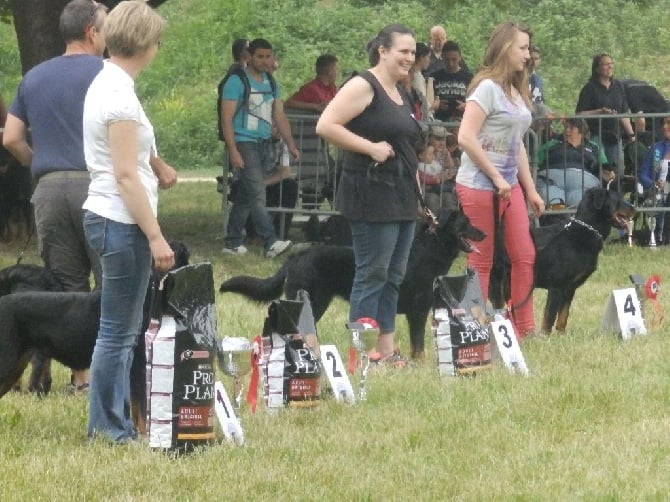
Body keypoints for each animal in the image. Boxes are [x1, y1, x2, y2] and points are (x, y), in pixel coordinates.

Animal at [220, 208, 488, 356]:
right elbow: (418, 345)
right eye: (465, 223)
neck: (430, 253)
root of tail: (295, 257)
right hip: (309, 301)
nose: (484, 233)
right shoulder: (418, 311)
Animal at [490, 187, 636, 334]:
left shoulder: (570, 287)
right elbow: (549, 316)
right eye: (617, 199)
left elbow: (563, 315)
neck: (584, 231)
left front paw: (561, 334)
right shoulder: (556, 286)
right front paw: (545, 336)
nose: (634, 207)